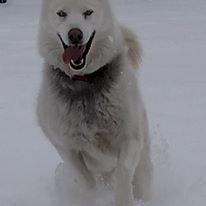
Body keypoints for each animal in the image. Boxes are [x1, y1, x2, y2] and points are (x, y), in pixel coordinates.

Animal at [37, 0, 152, 206]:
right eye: (61, 13)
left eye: (88, 12)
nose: (75, 34)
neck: (85, 81)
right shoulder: (66, 146)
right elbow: (86, 181)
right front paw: (94, 197)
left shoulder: (130, 138)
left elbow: (123, 172)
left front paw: (122, 199)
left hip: (142, 164)